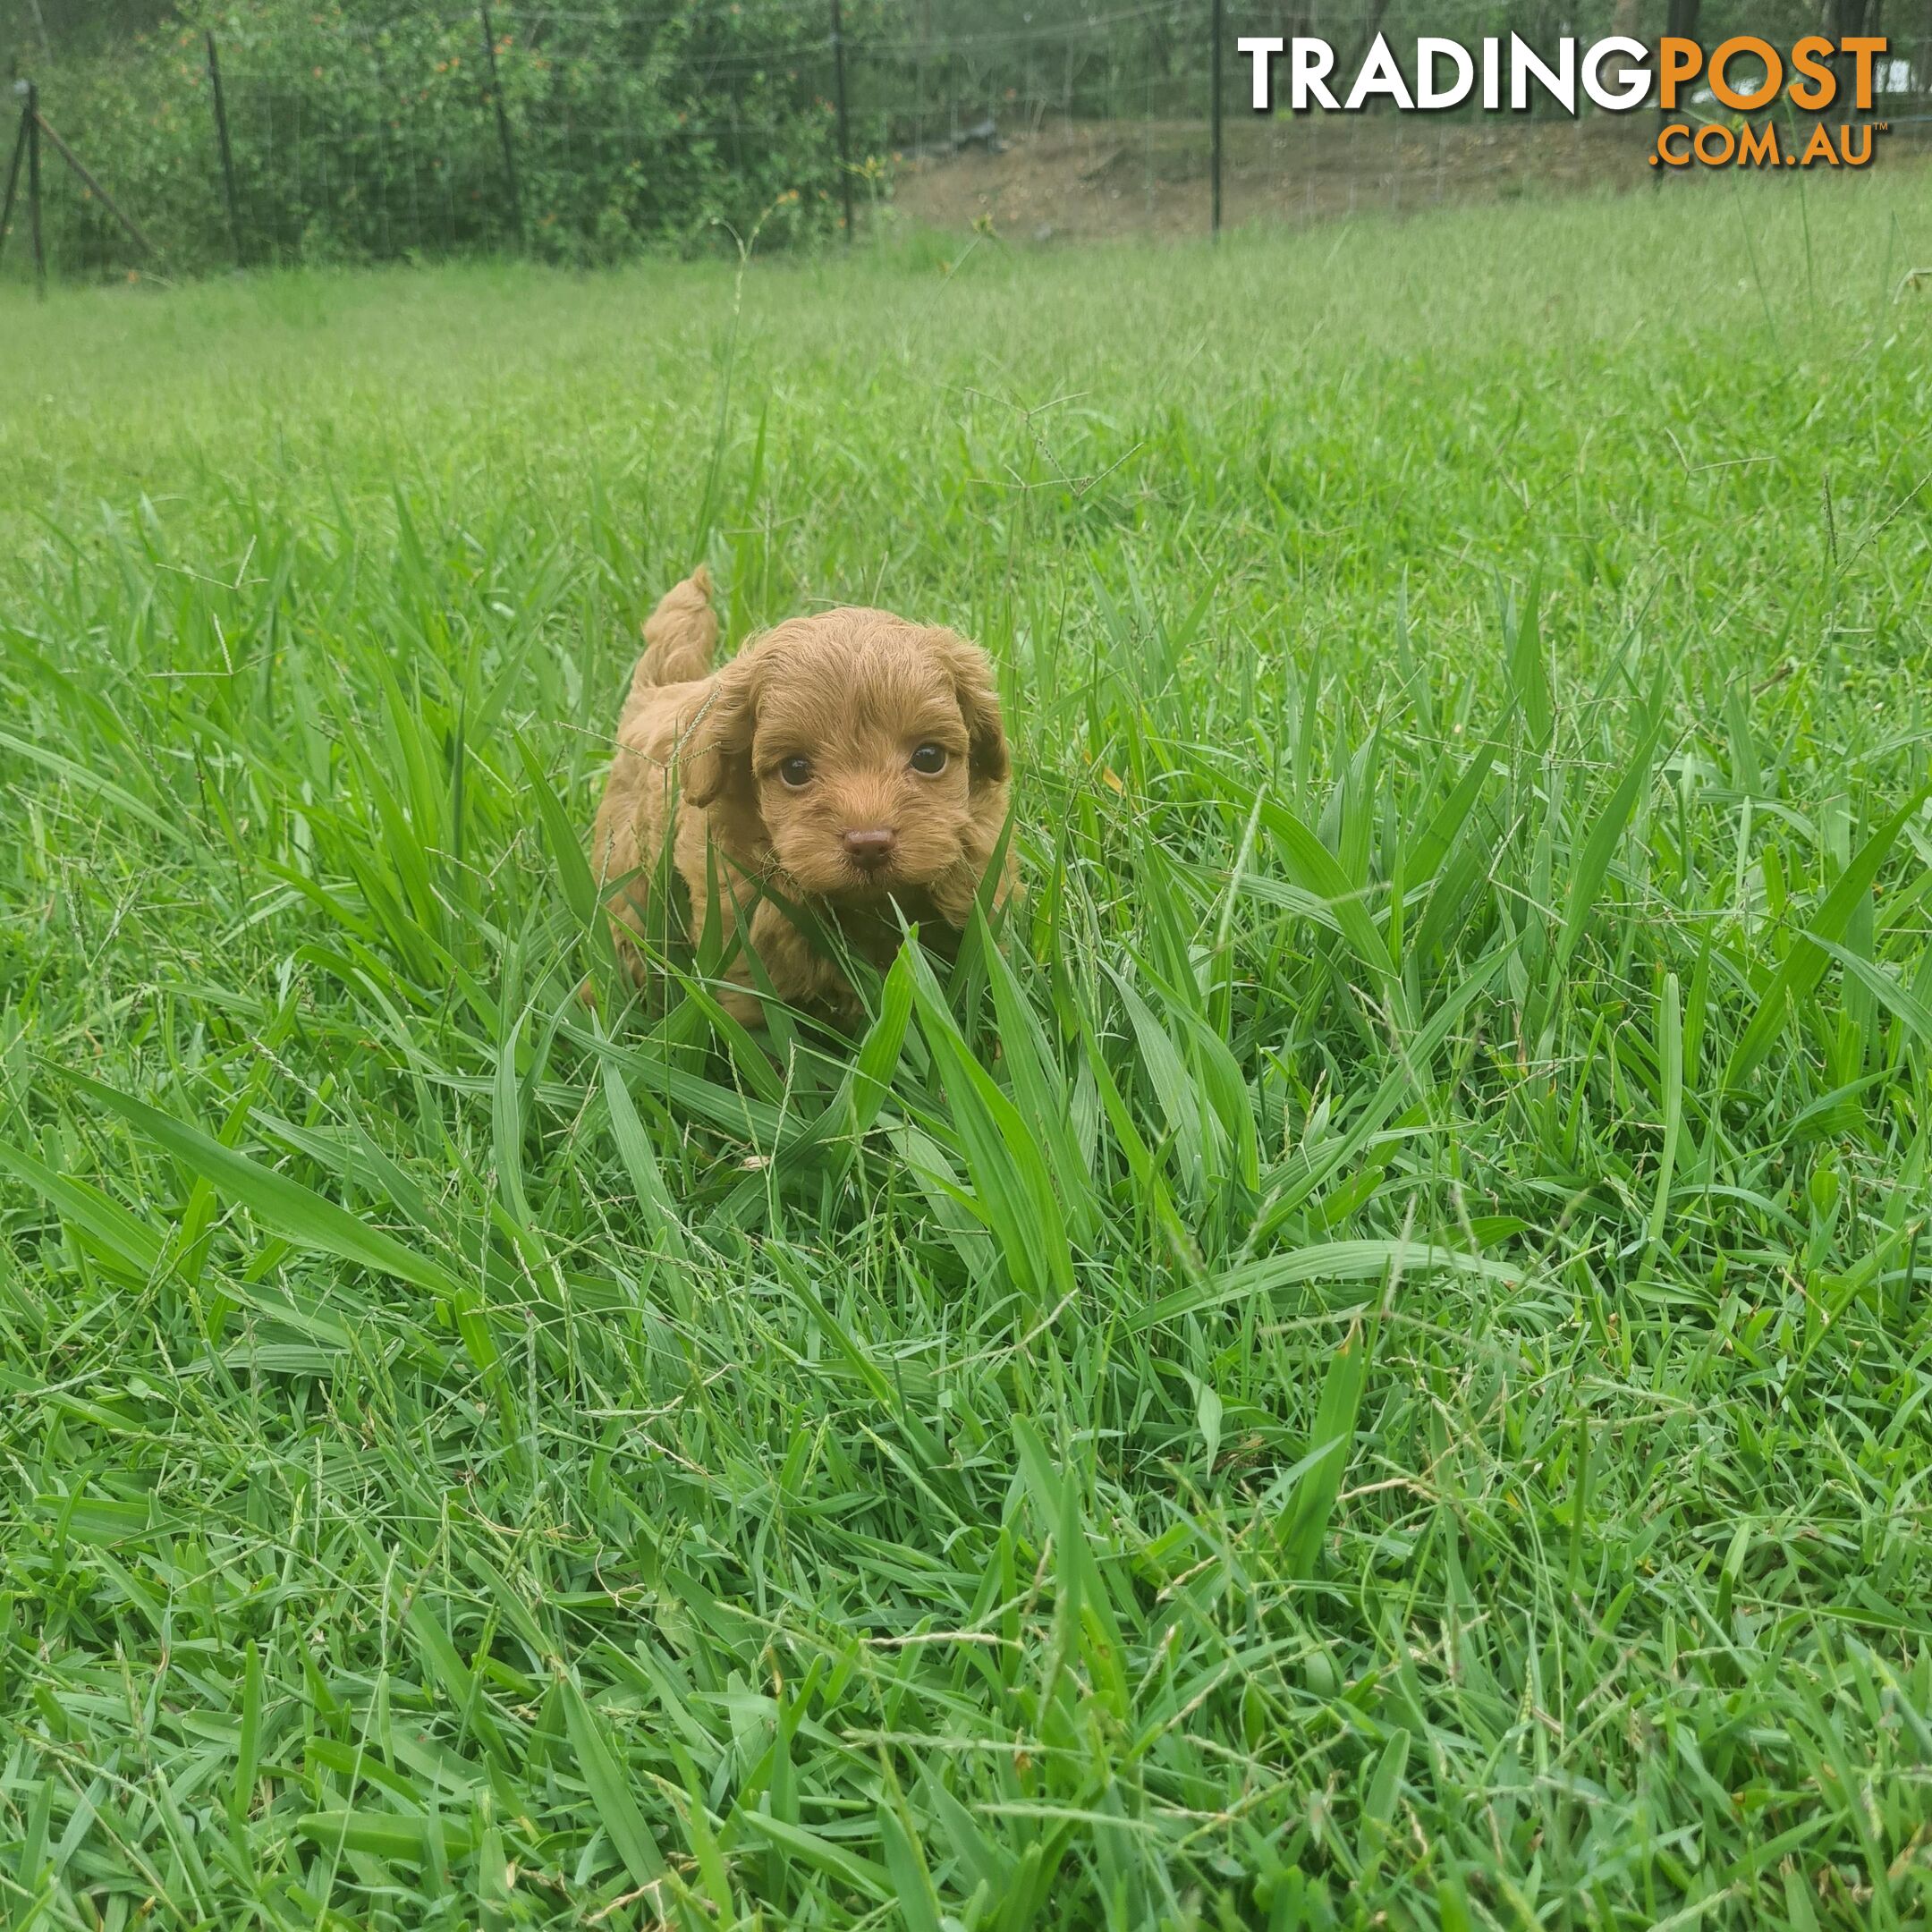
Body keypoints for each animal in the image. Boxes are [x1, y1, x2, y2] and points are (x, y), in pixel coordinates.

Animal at [583, 564, 1012, 1028]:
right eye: (795, 770)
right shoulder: (744, 946)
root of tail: (658, 692)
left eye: (929, 757)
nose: (869, 845)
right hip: (627, 869)